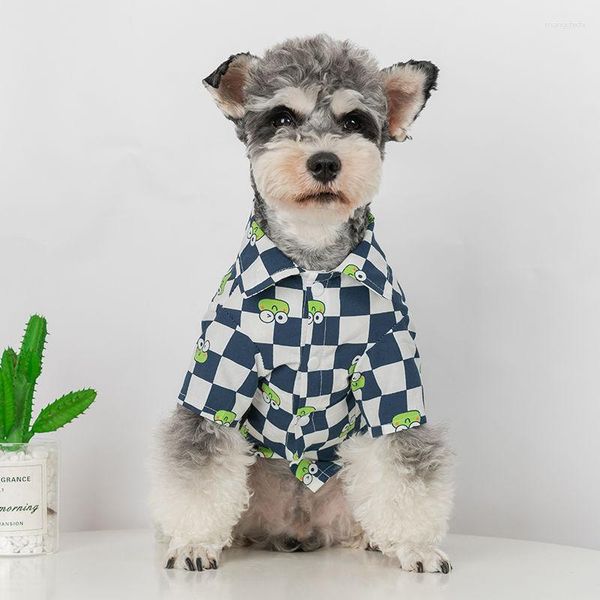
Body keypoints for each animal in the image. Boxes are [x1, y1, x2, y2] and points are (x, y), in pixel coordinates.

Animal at [151, 35, 454, 576]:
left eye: (355, 122)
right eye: (281, 117)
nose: (325, 162)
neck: (312, 263)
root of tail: (296, 529)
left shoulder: (391, 373)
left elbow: (404, 462)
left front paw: (416, 545)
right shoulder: (219, 371)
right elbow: (199, 463)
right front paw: (193, 541)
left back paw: (372, 539)